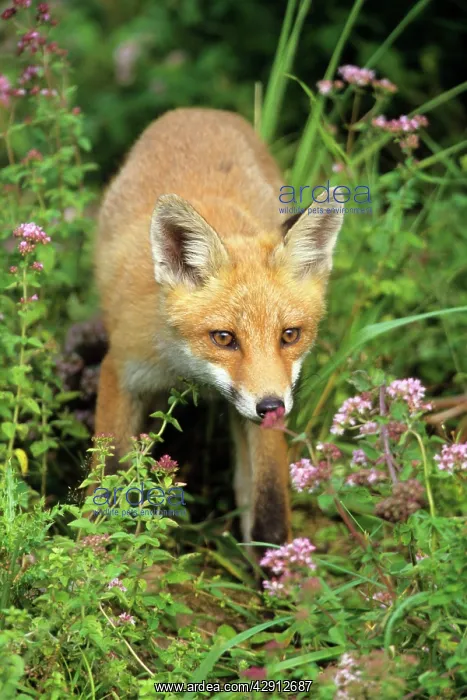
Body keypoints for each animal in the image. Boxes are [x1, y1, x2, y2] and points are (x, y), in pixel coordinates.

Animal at [93, 107, 343, 547]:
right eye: (224, 338)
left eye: (290, 335)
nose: (271, 406)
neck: (185, 369)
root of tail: (196, 112)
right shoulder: (120, 371)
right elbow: (107, 481)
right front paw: (95, 547)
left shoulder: (267, 402)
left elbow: (268, 504)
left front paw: (278, 562)